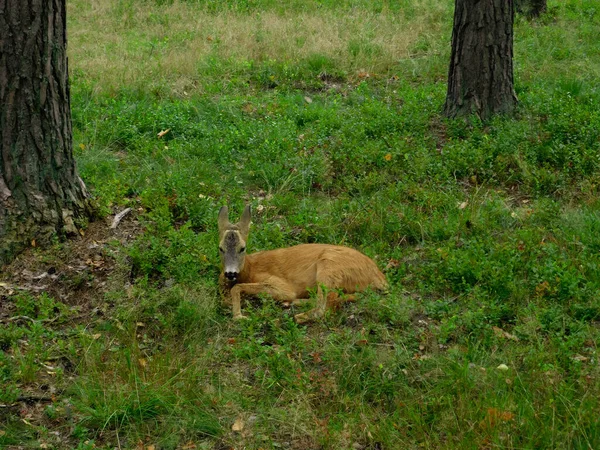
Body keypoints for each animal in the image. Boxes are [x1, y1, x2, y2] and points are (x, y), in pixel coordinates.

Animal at [218, 204, 386, 324]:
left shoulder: (280, 285)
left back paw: (294, 317)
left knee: (323, 308)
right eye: (220, 248)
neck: (250, 268)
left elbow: (236, 288)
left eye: (242, 248)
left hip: (329, 266)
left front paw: (239, 316)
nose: (230, 273)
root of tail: (380, 277)